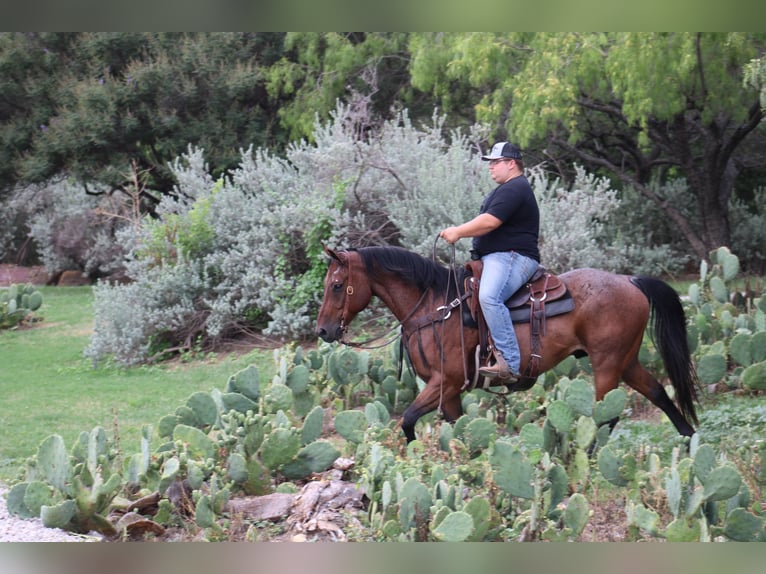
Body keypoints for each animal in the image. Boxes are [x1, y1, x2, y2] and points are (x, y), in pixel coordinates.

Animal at [316, 245, 700, 444]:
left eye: (336, 285)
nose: (322, 330)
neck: (435, 308)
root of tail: (630, 281)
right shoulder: (450, 392)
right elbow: (460, 430)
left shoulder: (445, 382)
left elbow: (408, 420)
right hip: (626, 360)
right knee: (658, 393)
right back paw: (690, 440)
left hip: (606, 365)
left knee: (607, 415)